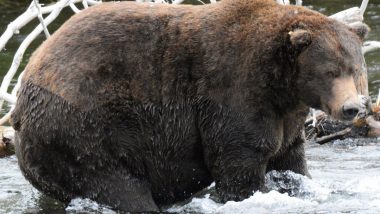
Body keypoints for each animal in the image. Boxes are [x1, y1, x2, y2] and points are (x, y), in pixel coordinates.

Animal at [11, 0, 368, 211]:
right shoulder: (234, 91)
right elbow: (239, 156)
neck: (280, 85)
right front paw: (245, 193)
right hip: (83, 128)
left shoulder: (288, 114)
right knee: (116, 185)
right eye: (330, 71)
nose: (351, 108)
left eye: (354, 68)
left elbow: (291, 161)